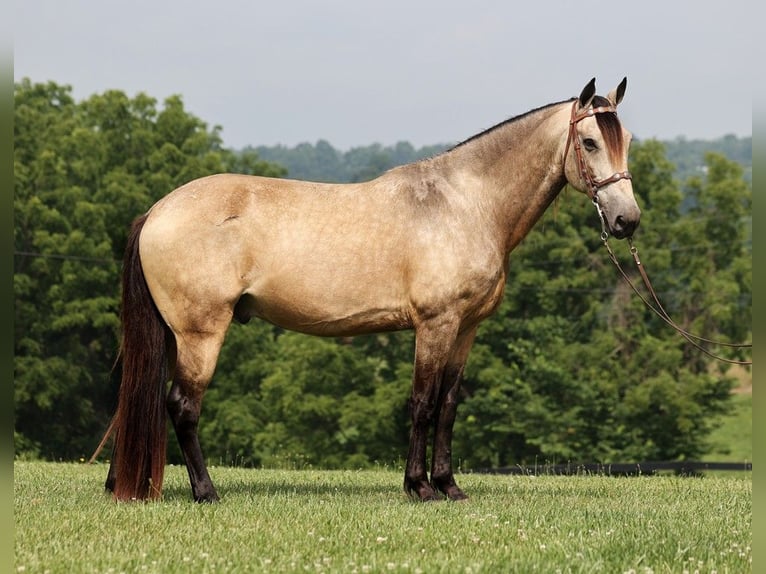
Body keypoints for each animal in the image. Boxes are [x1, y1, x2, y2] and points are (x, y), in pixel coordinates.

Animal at [99, 77, 644, 504]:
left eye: (628, 140)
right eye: (589, 142)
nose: (627, 220)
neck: (466, 204)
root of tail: (157, 211)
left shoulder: (466, 328)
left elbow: (448, 406)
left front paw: (449, 486)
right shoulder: (435, 324)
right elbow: (423, 403)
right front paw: (419, 487)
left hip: (173, 335)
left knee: (138, 402)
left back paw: (124, 485)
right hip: (200, 334)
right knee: (181, 407)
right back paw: (207, 492)